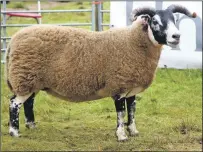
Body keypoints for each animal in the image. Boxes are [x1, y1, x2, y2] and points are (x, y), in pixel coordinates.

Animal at [5, 4, 197, 141]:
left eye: (174, 20)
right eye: (155, 21)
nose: (176, 36)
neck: (133, 42)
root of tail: (13, 40)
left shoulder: (131, 89)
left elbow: (132, 111)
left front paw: (133, 131)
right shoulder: (118, 86)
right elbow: (121, 114)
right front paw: (122, 136)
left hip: (32, 81)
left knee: (28, 103)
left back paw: (32, 126)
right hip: (23, 77)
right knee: (14, 104)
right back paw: (15, 132)